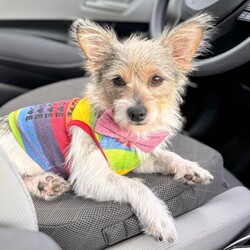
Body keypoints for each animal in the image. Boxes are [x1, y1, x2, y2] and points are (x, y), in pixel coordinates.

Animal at [0, 13, 215, 242]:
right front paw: (158, 218)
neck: (126, 133)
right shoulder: (90, 175)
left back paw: (45, 184)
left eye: (156, 79)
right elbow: (135, 185)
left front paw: (190, 168)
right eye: (118, 81)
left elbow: (166, 155)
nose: (136, 113)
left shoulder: (135, 159)